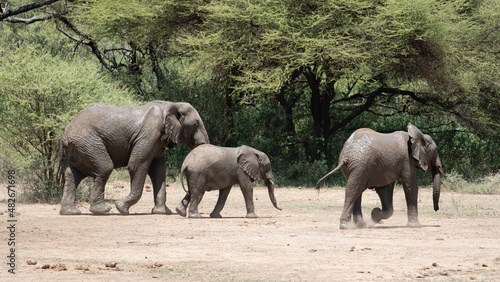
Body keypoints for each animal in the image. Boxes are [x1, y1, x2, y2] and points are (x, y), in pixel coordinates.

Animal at [59, 100, 210, 215]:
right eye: (196, 124)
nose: (180, 211)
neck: (170, 105)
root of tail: (65, 134)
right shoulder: (149, 135)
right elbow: (136, 165)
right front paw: (121, 208)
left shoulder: (157, 143)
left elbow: (159, 171)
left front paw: (162, 212)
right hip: (88, 143)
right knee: (104, 168)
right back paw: (102, 210)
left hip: (78, 148)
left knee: (73, 175)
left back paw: (71, 212)